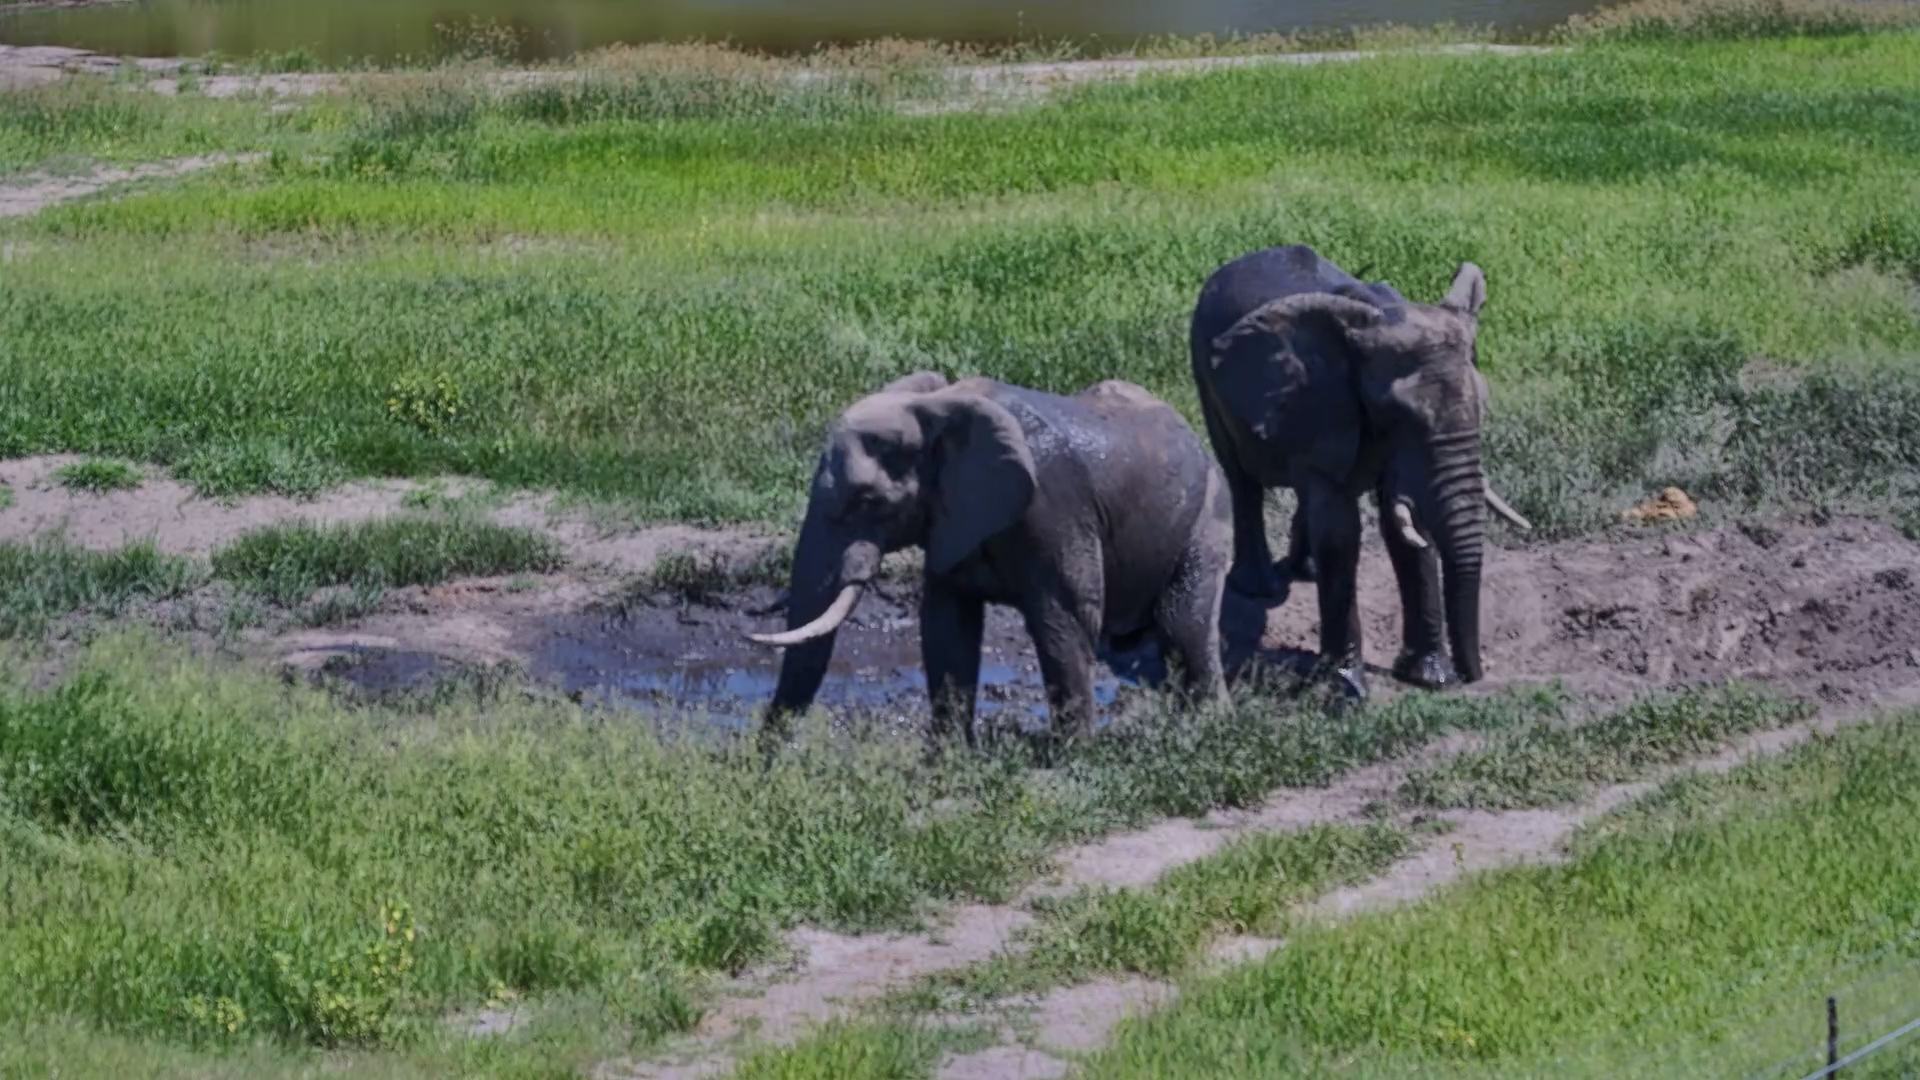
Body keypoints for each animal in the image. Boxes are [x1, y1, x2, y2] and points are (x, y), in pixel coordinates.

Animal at [746, 372, 1233, 748]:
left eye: (866, 500)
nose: (763, 763)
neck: (934, 407)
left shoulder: (1055, 507)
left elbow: (1067, 618)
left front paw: (1072, 756)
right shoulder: (951, 517)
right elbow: (946, 624)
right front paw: (947, 761)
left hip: (1207, 515)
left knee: (1183, 623)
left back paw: (1205, 732)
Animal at [1189, 244, 1531, 699]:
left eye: (1484, 403)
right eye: (1395, 413)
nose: (1473, 675)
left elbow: (1404, 526)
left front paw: (1430, 678)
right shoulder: (1322, 404)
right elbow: (1340, 533)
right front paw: (1347, 692)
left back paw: (1306, 571)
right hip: (1204, 373)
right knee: (1242, 479)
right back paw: (1258, 586)